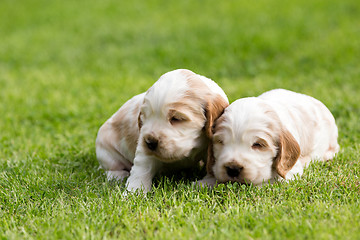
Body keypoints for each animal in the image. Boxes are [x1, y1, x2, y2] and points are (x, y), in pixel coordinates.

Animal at [95, 69, 228, 193]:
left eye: (176, 118)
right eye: (145, 116)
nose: (150, 142)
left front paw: (206, 183)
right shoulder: (144, 148)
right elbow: (141, 169)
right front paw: (133, 192)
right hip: (105, 151)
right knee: (112, 168)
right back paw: (118, 176)